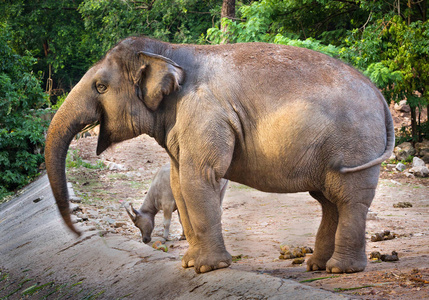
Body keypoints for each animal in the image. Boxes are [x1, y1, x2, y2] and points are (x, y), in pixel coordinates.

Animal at [45, 37, 392, 274]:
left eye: (101, 86)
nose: (77, 232)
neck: (167, 51)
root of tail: (380, 95)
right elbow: (180, 181)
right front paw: (189, 264)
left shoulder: (204, 112)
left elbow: (199, 176)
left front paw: (208, 268)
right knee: (328, 200)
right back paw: (316, 266)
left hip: (354, 145)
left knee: (348, 198)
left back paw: (340, 269)